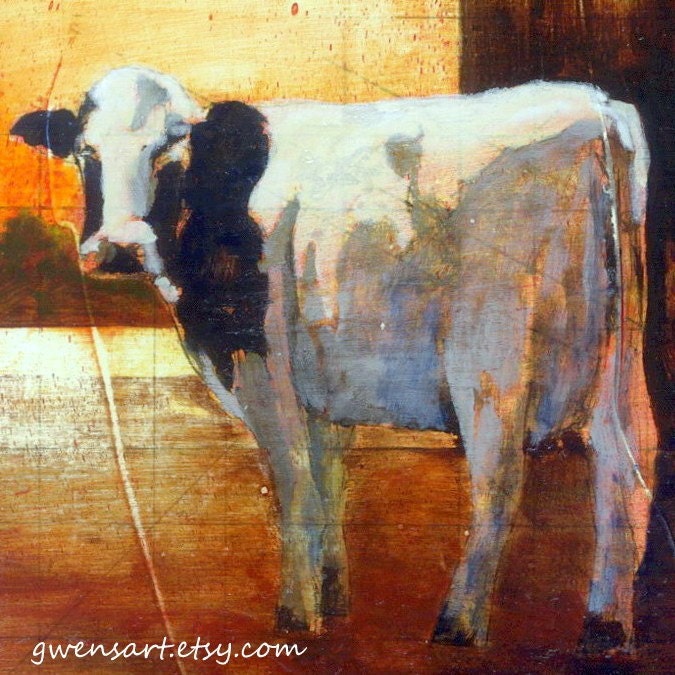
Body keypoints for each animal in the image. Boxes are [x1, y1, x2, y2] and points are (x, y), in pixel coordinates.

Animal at [11, 67, 658, 652]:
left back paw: (460, 622)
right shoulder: (321, 379)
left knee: (499, 478)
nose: (118, 249)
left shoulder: (261, 360)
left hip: (489, 352)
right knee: (626, 467)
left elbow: (295, 479)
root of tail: (593, 106)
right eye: (85, 152)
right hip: (619, 359)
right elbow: (327, 479)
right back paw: (606, 627)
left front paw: (298, 615)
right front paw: (333, 595)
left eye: (170, 149)